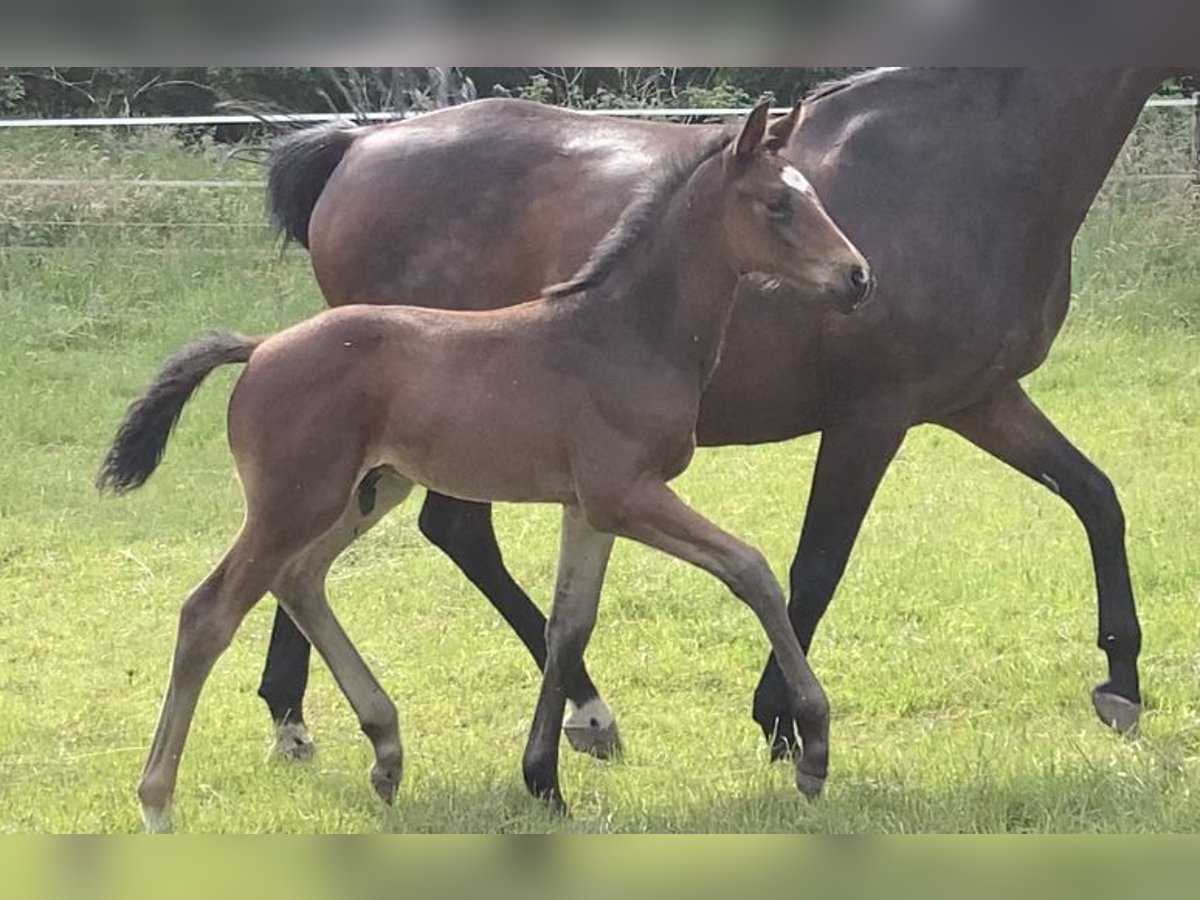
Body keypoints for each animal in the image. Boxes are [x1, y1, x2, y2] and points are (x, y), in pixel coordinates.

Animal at [260, 66, 1190, 763]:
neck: (973, 156)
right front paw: (784, 722)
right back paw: (580, 712)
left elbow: (1098, 498)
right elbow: (816, 565)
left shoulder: (981, 400)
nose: (858, 279)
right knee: (418, 535)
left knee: (355, 542)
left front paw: (1121, 687)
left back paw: (295, 715)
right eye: (779, 207)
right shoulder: (871, 417)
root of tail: (359, 144)